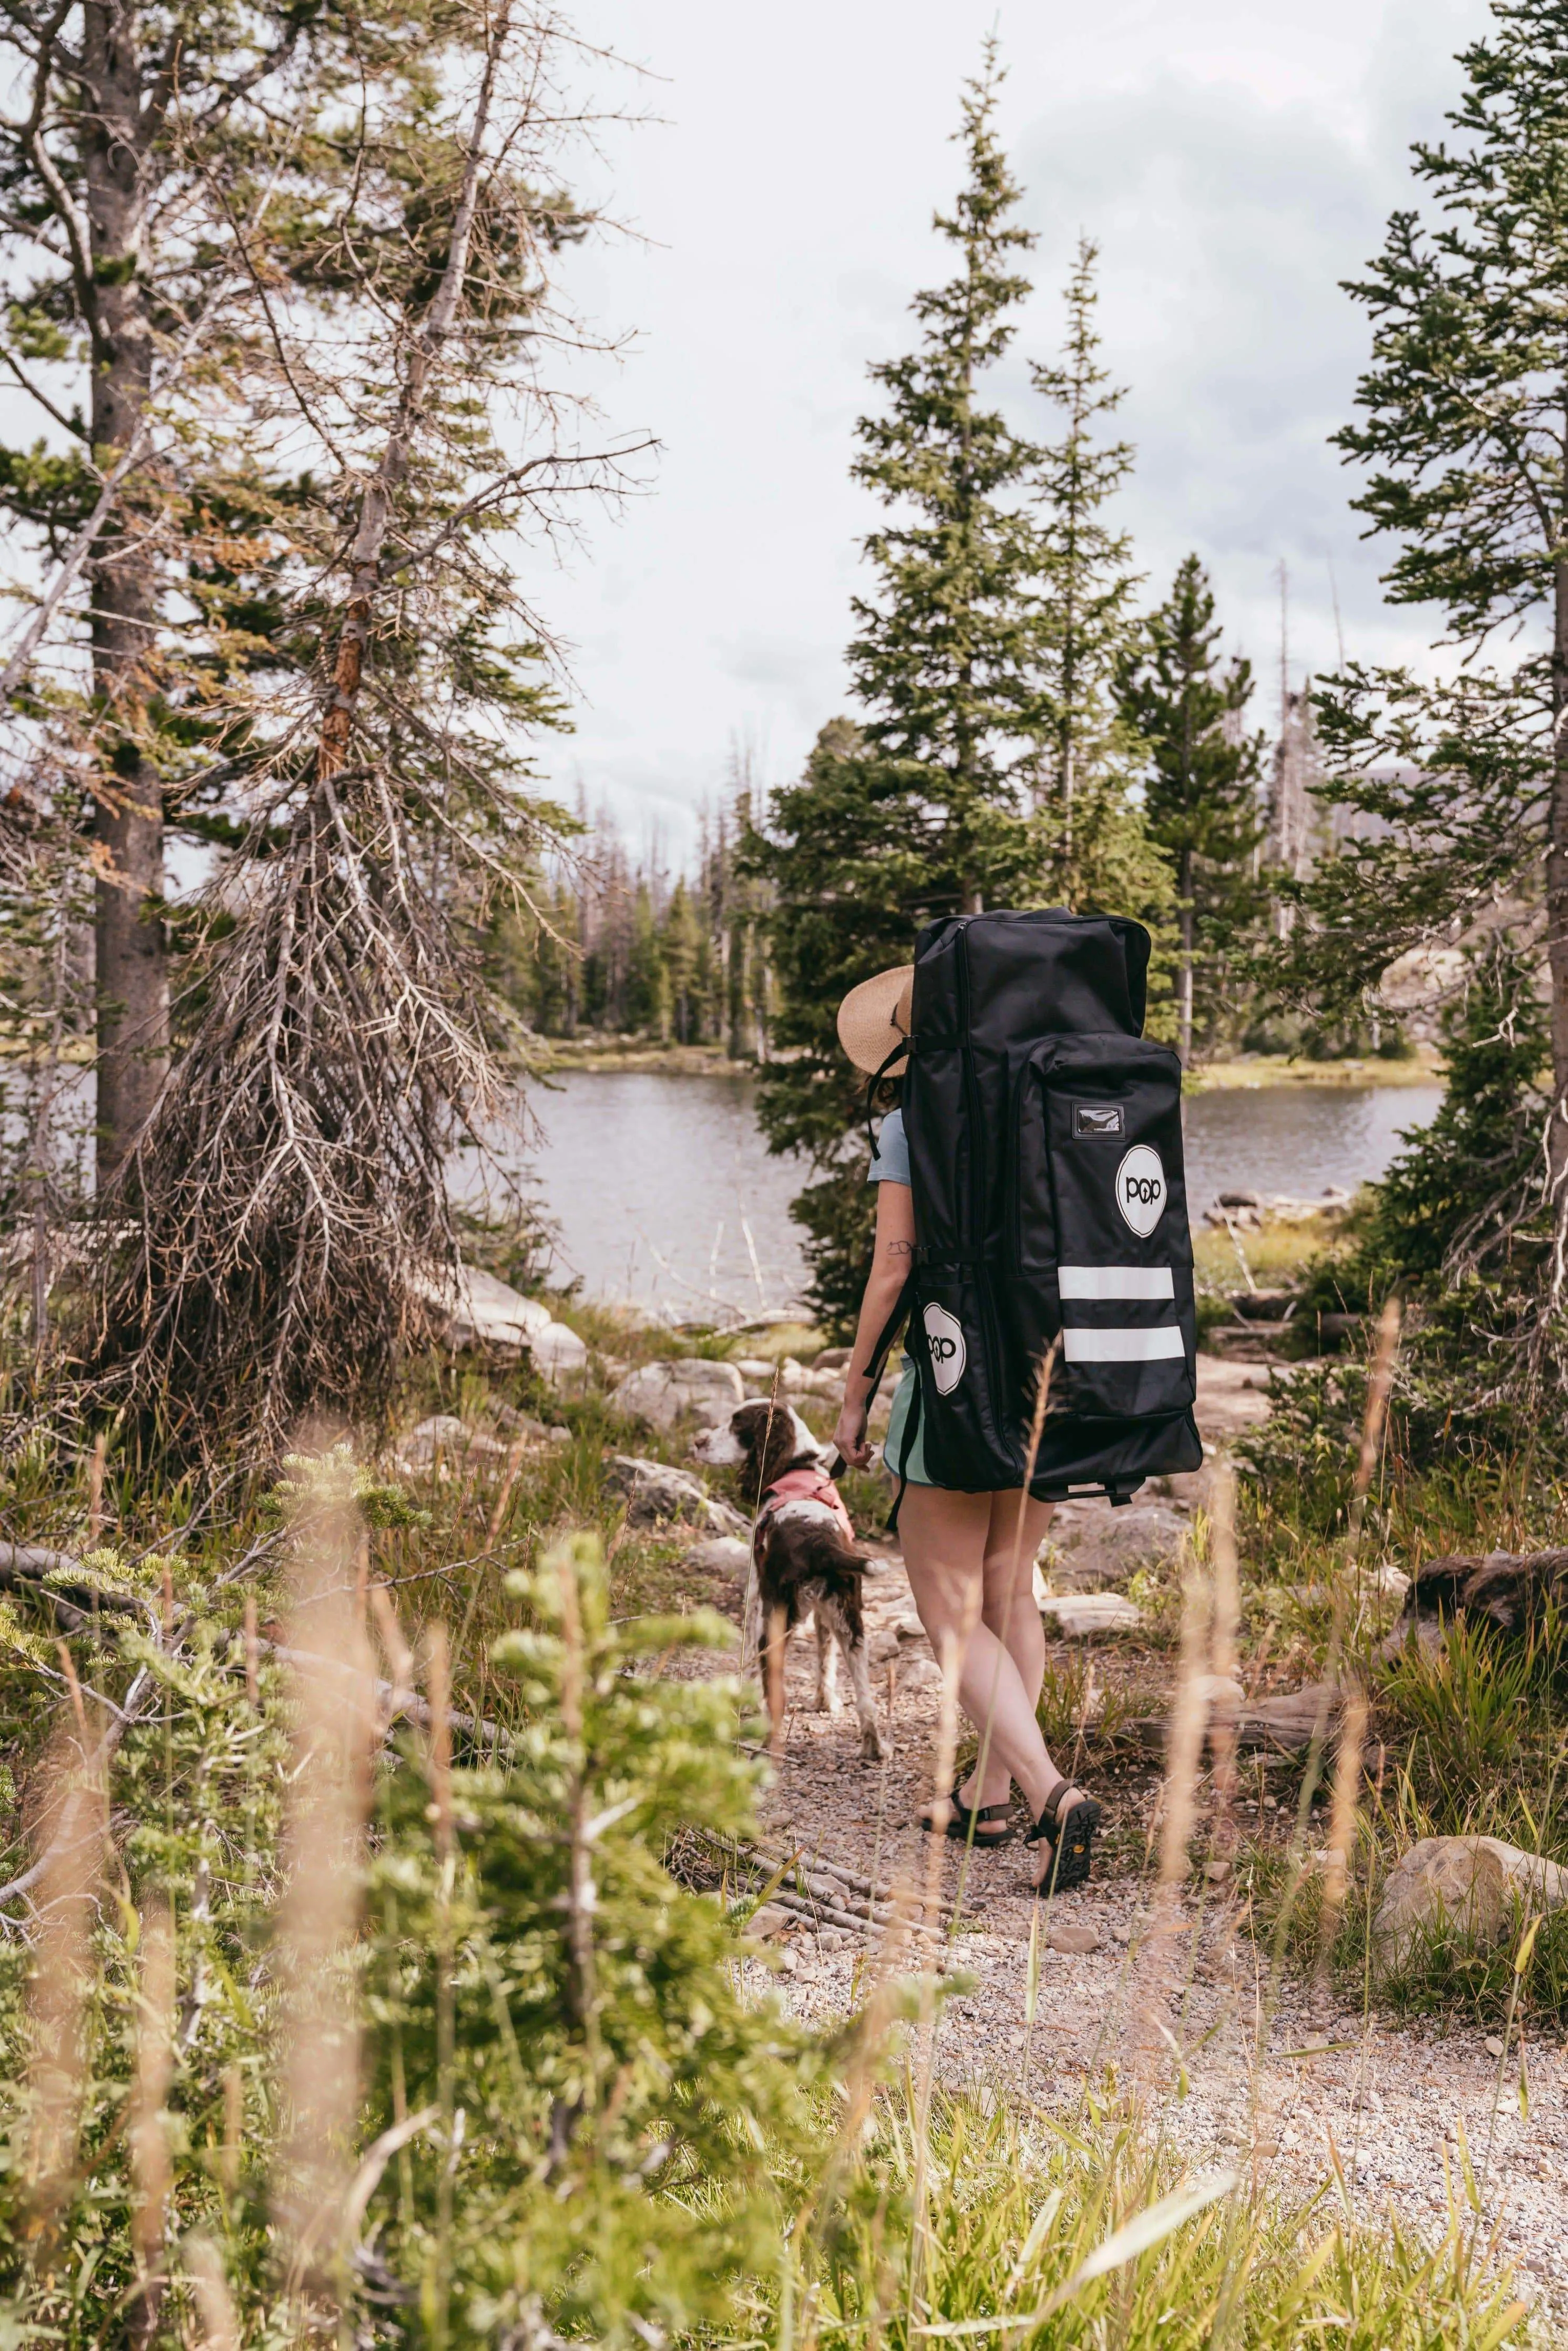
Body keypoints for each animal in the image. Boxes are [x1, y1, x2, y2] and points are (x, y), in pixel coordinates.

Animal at [691, 1401, 884, 1759]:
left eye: (736, 1424)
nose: (698, 1442)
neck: (796, 1466)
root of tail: (821, 1544)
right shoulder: (825, 1614)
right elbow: (825, 1659)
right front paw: (825, 1701)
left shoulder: (756, 1595)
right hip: (852, 1625)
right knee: (866, 1699)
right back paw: (874, 1748)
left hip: (775, 1626)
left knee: (776, 1698)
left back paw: (766, 1749)